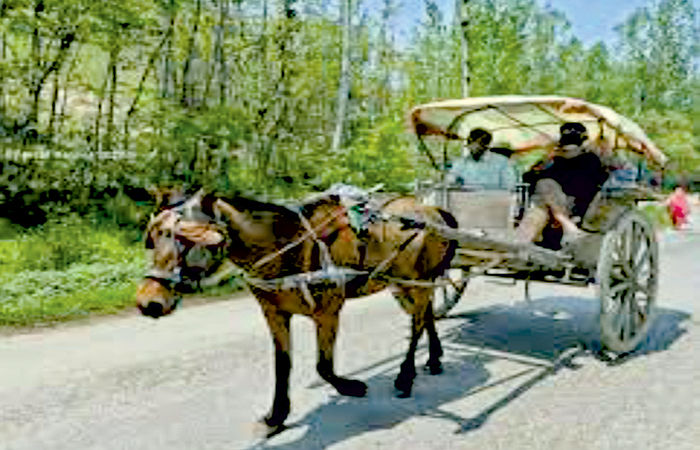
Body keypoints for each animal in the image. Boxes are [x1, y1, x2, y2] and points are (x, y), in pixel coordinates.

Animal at [135, 189, 458, 435]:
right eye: (152, 239)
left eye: (189, 238)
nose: (147, 302)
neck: (287, 245)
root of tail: (431, 208)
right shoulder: (274, 313)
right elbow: (283, 364)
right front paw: (276, 416)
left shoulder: (328, 310)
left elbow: (323, 367)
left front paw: (351, 387)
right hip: (406, 284)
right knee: (426, 314)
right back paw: (434, 358)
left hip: (418, 280)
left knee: (417, 322)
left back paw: (405, 376)